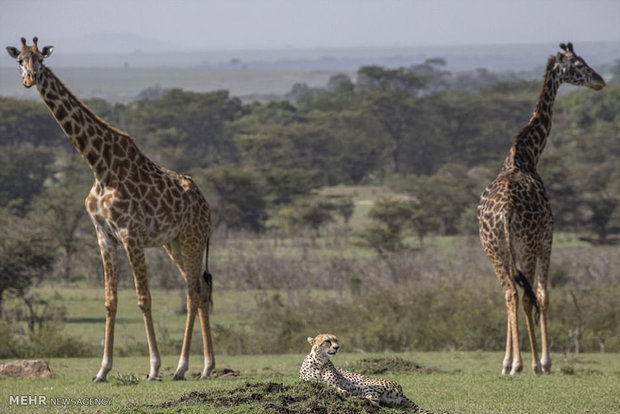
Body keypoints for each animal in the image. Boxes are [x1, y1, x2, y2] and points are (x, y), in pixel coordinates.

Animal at [6, 38, 216, 382]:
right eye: (19, 60)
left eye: (40, 59)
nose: (30, 79)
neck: (100, 166)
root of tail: (206, 204)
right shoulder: (104, 235)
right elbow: (110, 300)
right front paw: (102, 370)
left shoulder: (131, 233)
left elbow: (143, 298)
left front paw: (154, 367)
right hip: (173, 243)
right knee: (200, 288)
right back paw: (206, 366)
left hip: (192, 238)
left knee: (192, 292)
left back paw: (184, 366)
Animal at [300, 334, 432, 412]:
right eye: (327, 341)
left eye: (336, 340)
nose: (337, 347)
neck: (320, 361)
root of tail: (400, 387)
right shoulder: (308, 381)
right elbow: (320, 383)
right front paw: (342, 392)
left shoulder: (334, 384)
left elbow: (334, 386)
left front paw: (343, 392)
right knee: (376, 401)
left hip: (368, 385)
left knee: (373, 400)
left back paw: (355, 397)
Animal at [478, 42, 604, 376]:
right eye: (579, 63)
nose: (600, 80)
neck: (526, 155)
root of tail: (505, 211)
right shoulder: (548, 238)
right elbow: (543, 295)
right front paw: (545, 362)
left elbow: (518, 294)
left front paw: (508, 362)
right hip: (526, 245)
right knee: (524, 295)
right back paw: (529, 363)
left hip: (493, 249)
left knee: (509, 292)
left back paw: (511, 363)